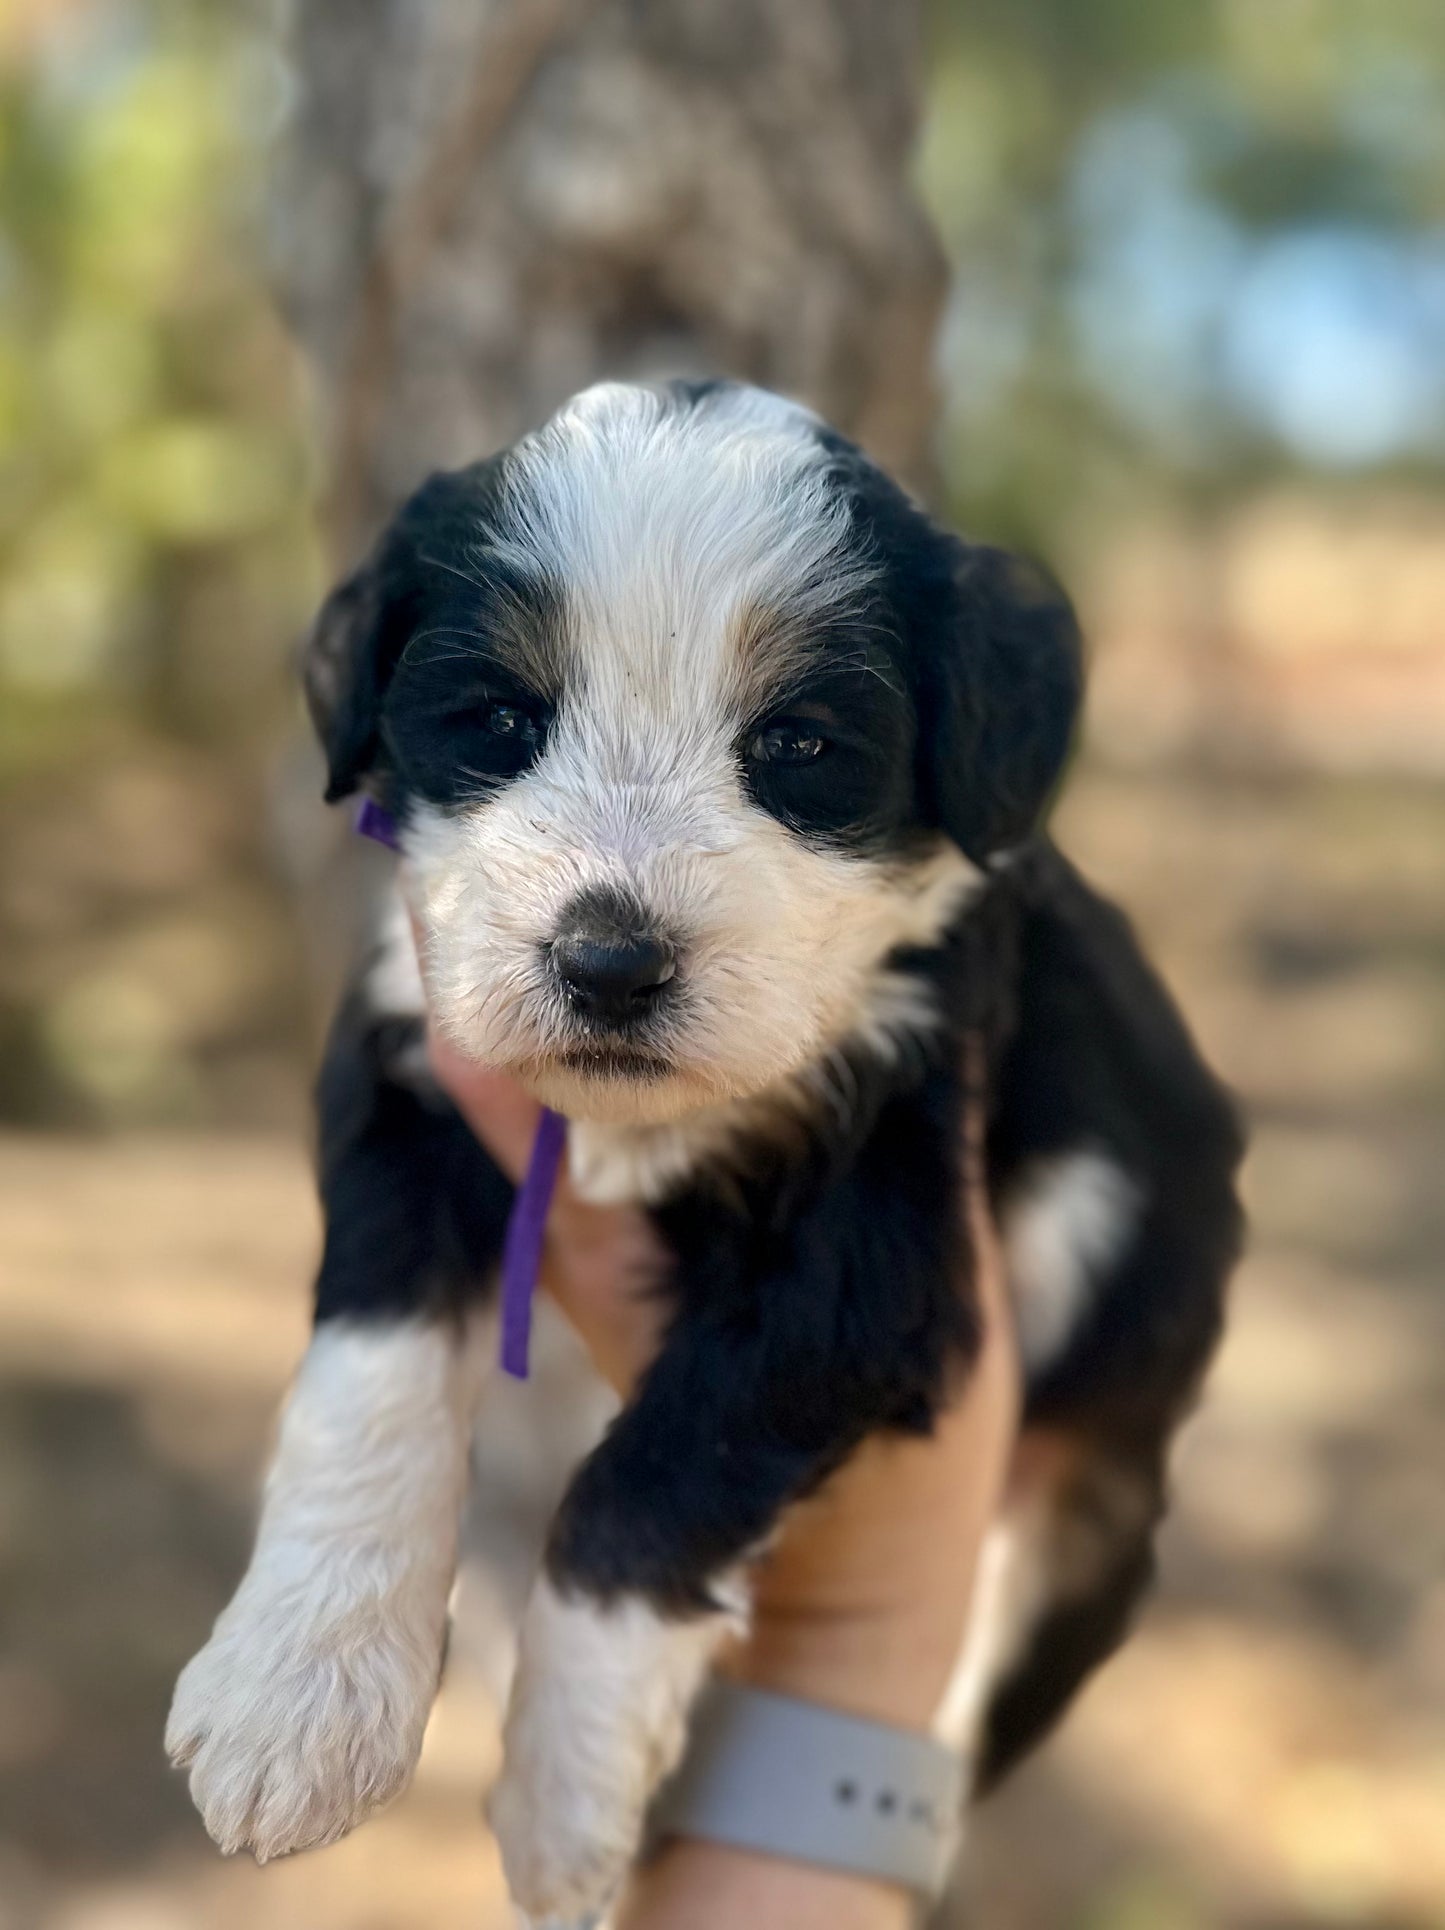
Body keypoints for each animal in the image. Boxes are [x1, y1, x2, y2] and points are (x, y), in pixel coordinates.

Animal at [165, 372, 1242, 1914]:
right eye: (499, 717)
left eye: (795, 744)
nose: (608, 962)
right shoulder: (408, 1070)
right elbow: (372, 1371)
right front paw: (296, 1691)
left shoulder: (870, 1246)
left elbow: (650, 1483)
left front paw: (559, 1796)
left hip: (1086, 1512)